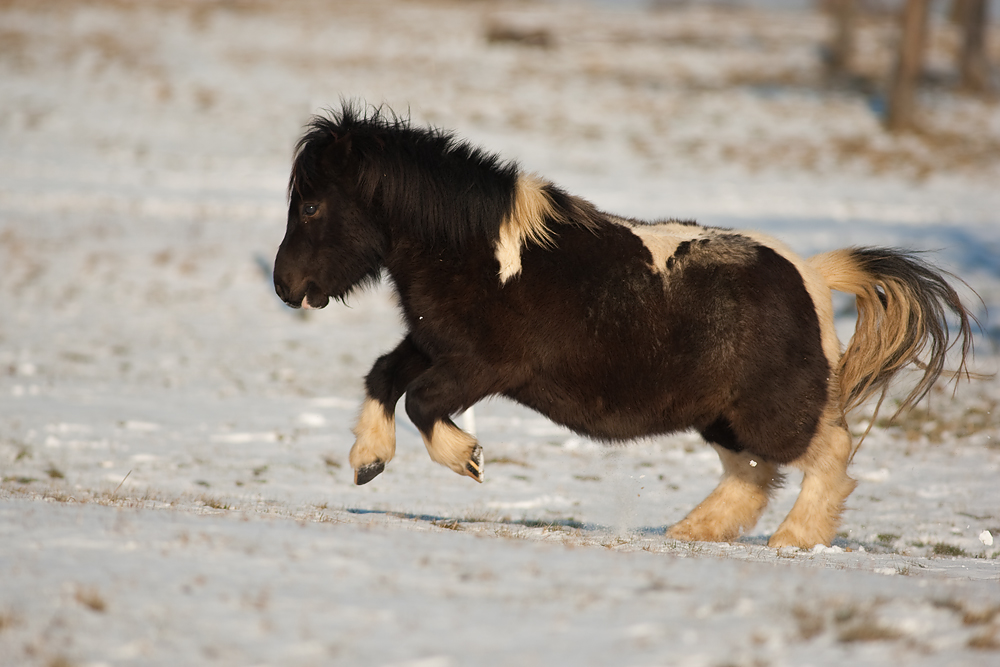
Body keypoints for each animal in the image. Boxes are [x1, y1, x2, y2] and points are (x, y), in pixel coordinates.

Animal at [270, 103, 972, 548]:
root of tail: (815, 275)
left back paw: (793, 540)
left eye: (311, 206)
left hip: (770, 410)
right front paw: (367, 461)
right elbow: (384, 375)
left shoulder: (485, 365)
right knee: (751, 474)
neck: (476, 253)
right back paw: (691, 531)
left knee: (828, 457)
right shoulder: (435, 343)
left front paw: (466, 458)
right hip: (722, 414)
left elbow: (421, 400)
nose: (284, 285)